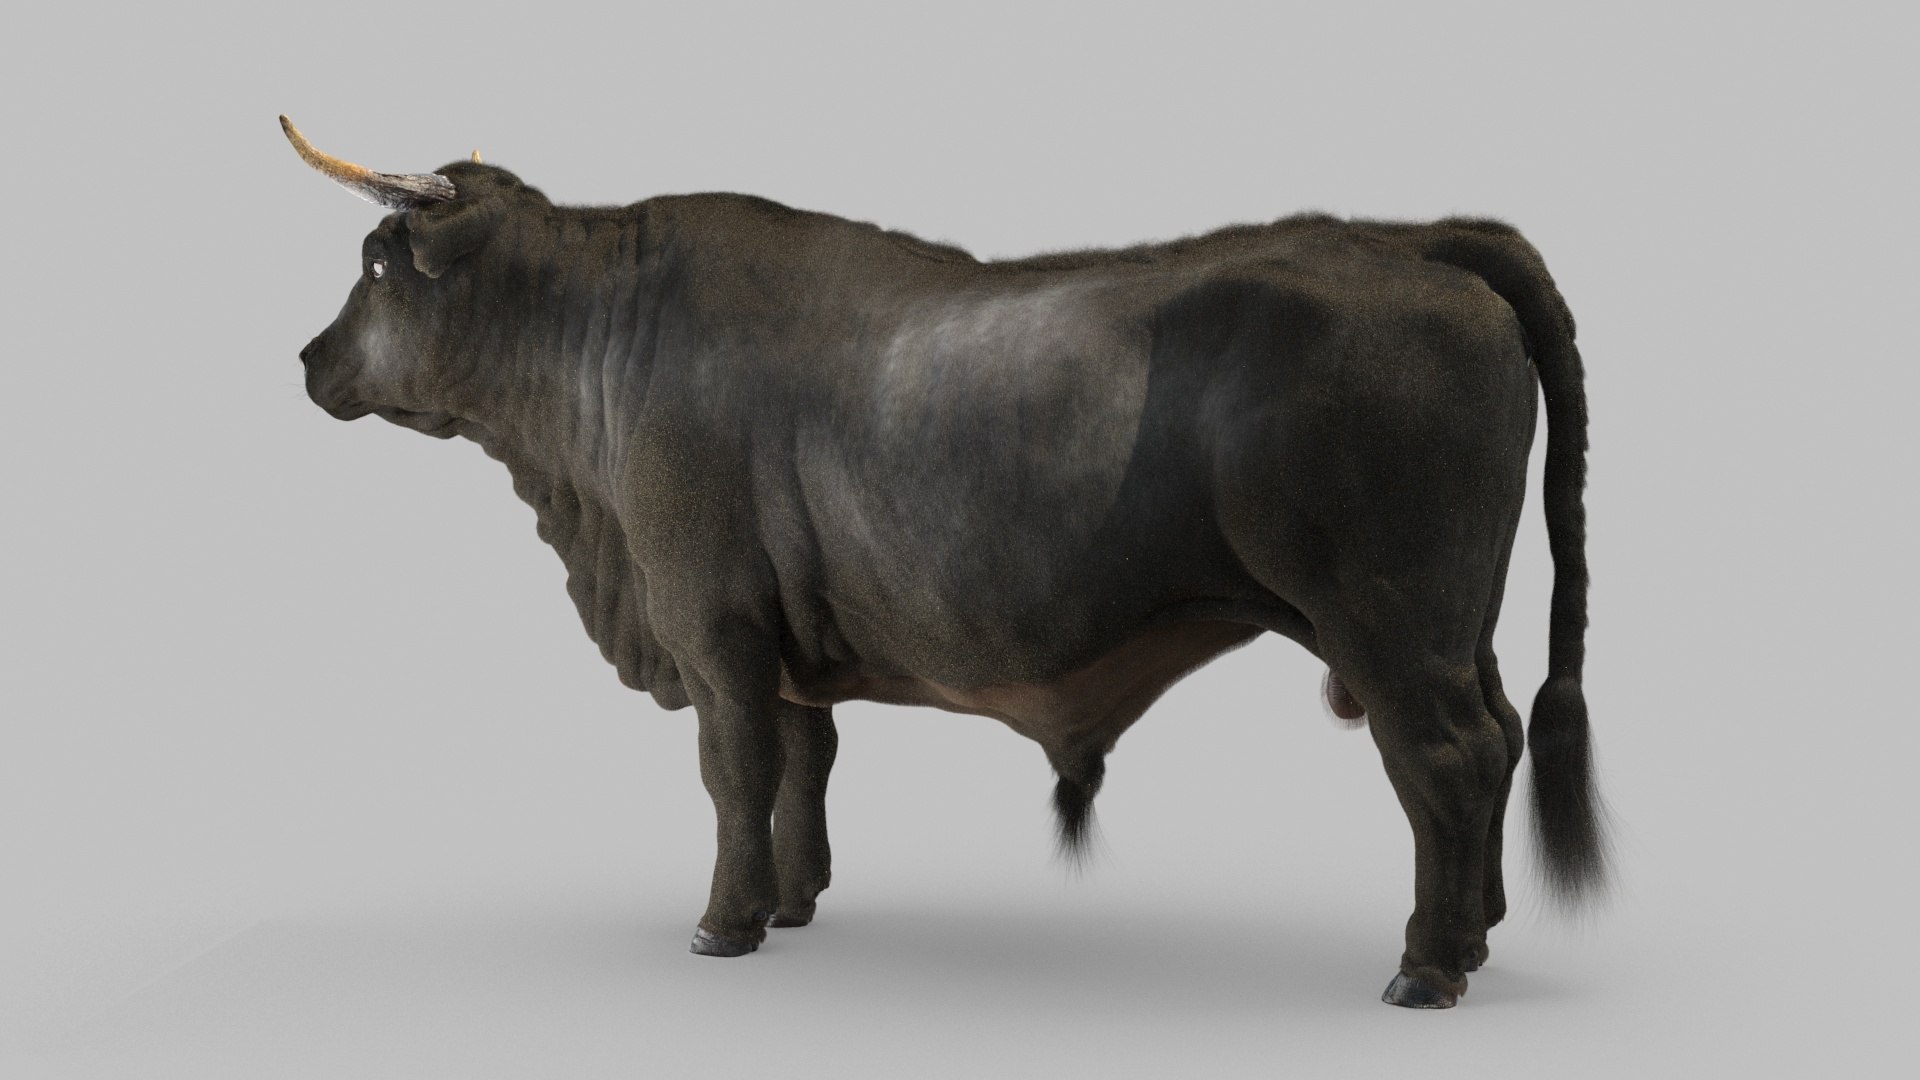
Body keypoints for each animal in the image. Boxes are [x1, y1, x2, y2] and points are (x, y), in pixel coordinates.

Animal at [282, 116, 1607, 1008]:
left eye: (379, 261)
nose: (307, 361)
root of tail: (1415, 244)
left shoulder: (712, 625)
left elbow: (734, 773)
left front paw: (724, 924)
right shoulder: (787, 644)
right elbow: (803, 764)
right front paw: (795, 902)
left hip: (1391, 629)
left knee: (1449, 758)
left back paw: (1426, 966)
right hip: (1460, 625)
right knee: (1498, 740)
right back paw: (1478, 933)